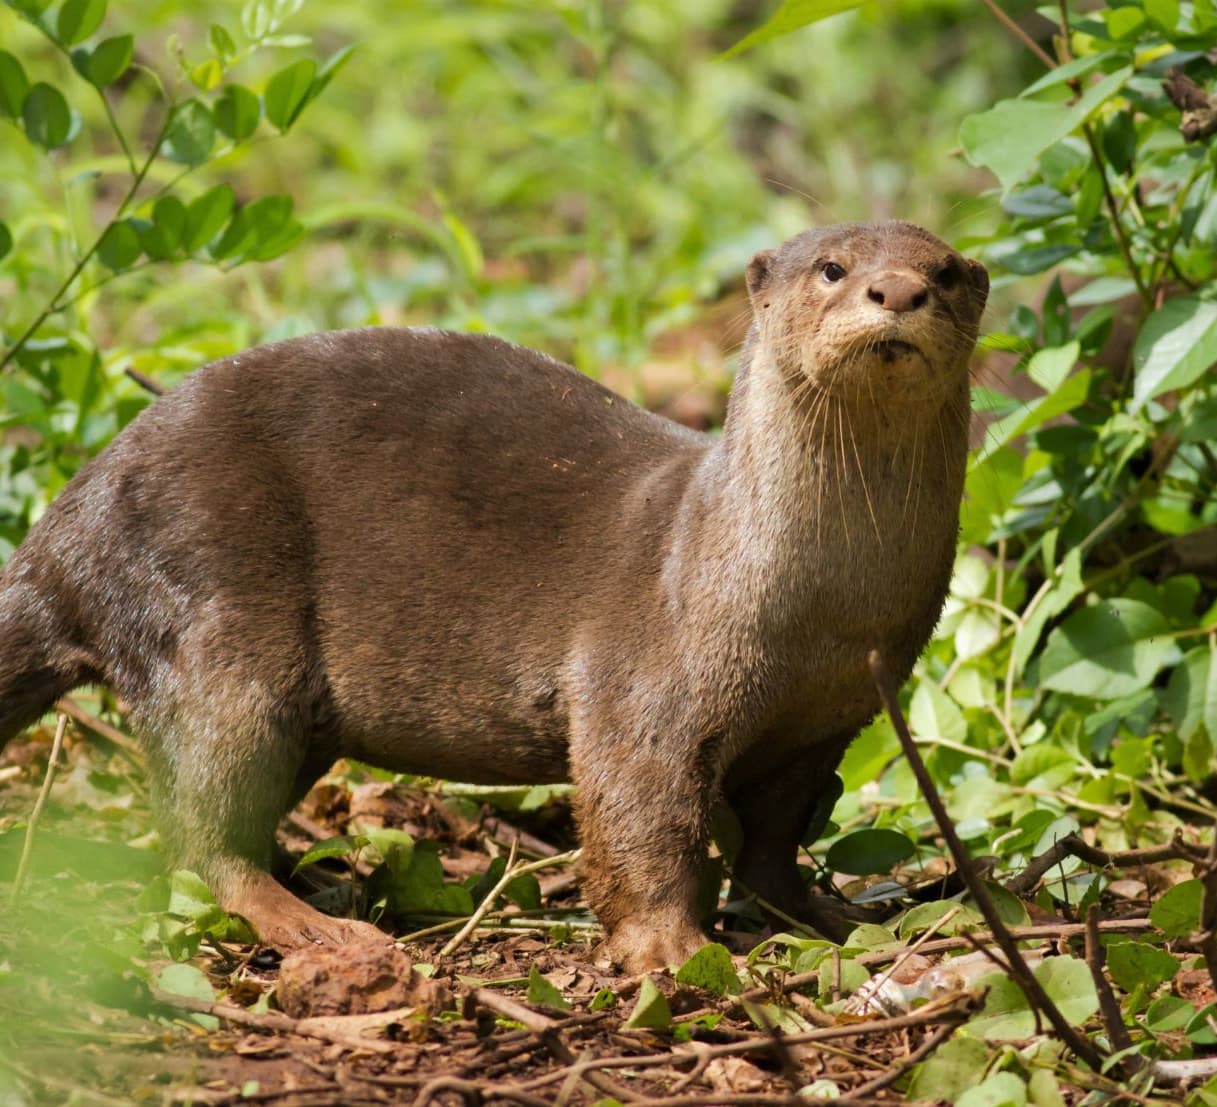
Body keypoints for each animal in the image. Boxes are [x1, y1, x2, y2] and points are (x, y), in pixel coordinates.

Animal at [0, 222, 987, 972]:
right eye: (833, 268)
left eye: (943, 270)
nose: (896, 291)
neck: (819, 611)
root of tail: (69, 520)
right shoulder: (644, 688)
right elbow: (642, 814)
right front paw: (668, 948)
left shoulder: (833, 714)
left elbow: (778, 840)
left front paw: (838, 917)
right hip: (211, 614)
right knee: (198, 827)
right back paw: (321, 926)